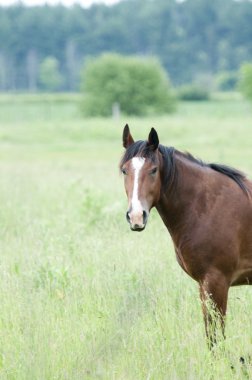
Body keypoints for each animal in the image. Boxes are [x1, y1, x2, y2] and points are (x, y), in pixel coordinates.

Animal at [119, 124, 252, 348]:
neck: (206, 205)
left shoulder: (217, 282)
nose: (136, 216)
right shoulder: (203, 285)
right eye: (124, 170)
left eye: (153, 170)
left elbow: (216, 336)